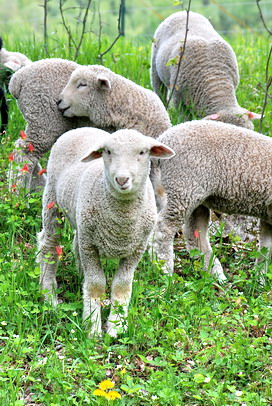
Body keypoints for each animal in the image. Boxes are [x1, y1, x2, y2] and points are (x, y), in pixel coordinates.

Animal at [37, 127, 174, 336]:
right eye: (108, 152)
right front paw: (92, 328)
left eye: (142, 152)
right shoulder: (90, 246)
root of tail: (81, 128)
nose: (122, 179)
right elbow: (96, 285)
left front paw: (116, 325)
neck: (121, 222)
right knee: (49, 246)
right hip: (52, 200)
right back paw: (49, 296)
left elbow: (121, 285)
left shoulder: (137, 248)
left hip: (81, 222)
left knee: (75, 244)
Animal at [152, 120, 272, 282]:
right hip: (184, 185)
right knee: (164, 227)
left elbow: (266, 248)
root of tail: (163, 138)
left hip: (195, 195)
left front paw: (260, 278)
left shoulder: (268, 215)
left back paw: (214, 272)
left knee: (194, 232)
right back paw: (164, 268)